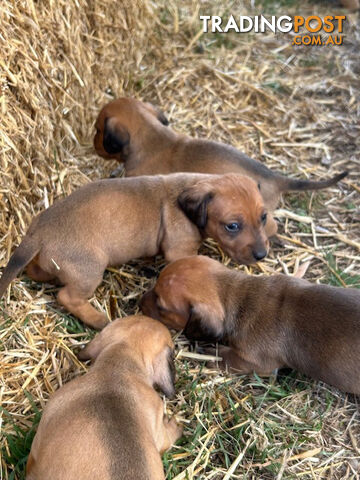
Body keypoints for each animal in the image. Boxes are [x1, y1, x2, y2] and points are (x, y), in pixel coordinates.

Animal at [0, 172, 276, 330]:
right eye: (232, 226)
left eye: (263, 217)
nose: (261, 255)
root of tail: (40, 231)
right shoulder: (180, 250)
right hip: (89, 270)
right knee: (67, 296)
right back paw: (98, 320)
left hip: (50, 262)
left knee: (37, 271)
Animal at [142, 256, 360, 396]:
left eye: (161, 306)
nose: (138, 301)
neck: (241, 295)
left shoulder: (256, 363)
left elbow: (228, 358)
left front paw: (212, 353)